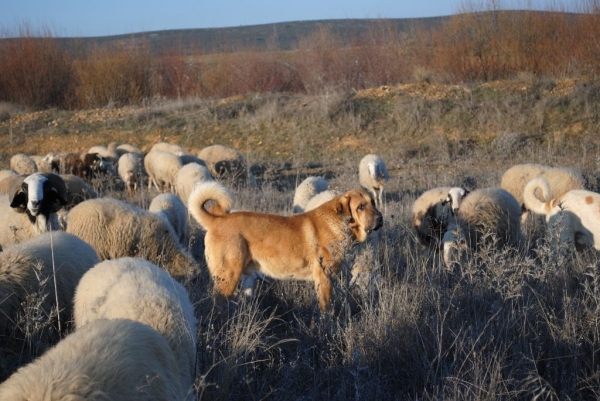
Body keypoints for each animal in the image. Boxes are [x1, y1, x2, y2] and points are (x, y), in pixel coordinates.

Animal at [190, 180, 382, 310]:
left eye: (373, 203)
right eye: (360, 207)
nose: (380, 218)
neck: (339, 223)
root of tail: (216, 221)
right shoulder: (324, 278)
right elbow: (325, 309)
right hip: (228, 277)